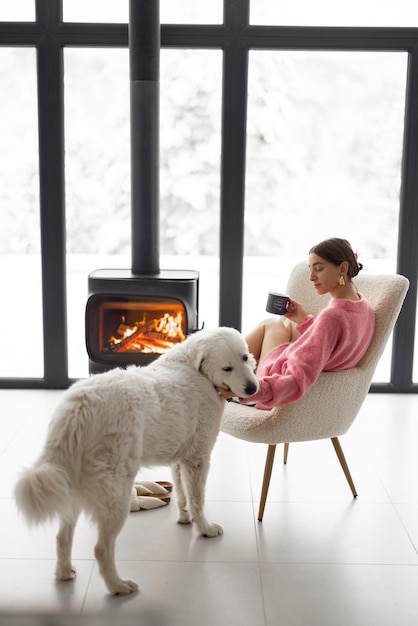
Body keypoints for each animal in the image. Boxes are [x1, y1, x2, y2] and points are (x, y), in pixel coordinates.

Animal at [13, 326, 258, 596]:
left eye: (244, 358)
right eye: (227, 368)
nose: (253, 388)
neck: (197, 371)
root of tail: (79, 406)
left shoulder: (180, 460)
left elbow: (182, 495)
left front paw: (184, 519)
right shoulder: (198, 459)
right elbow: (197, 501)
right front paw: (204, 529)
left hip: (74, 490)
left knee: (62, 537)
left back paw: (65, 573)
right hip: (117, 494)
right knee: (101, 548)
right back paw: (118, 586)